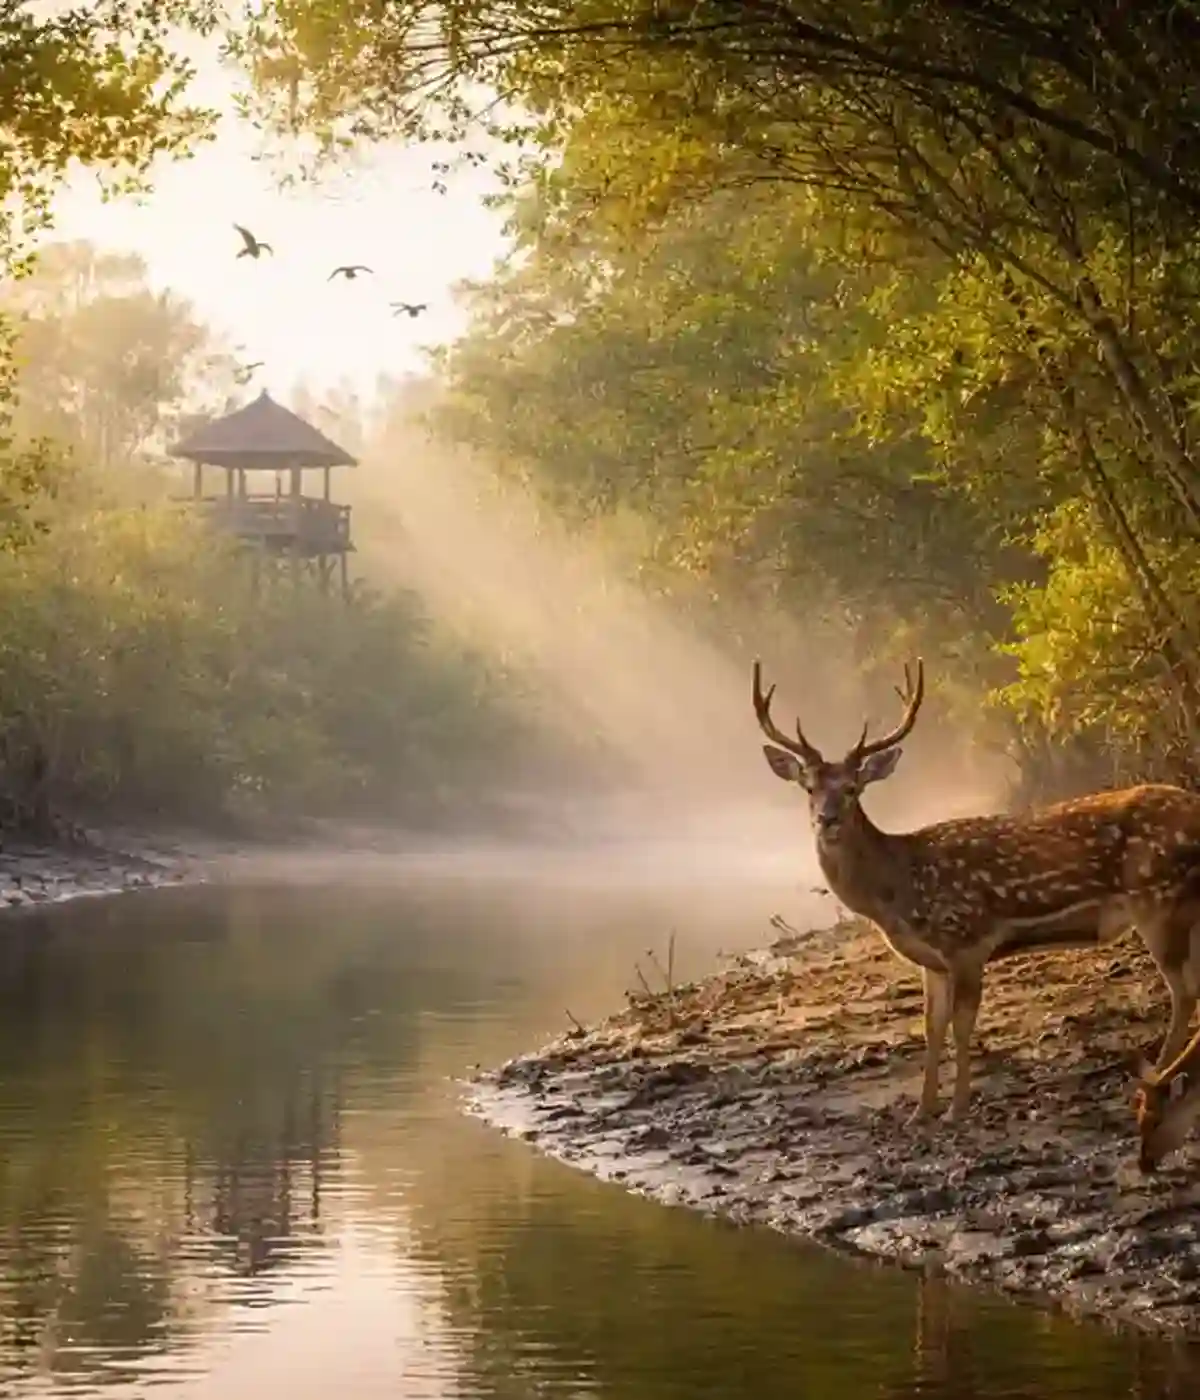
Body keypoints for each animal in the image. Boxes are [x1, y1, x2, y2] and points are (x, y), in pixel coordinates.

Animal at [753, 656, 1200, 1126]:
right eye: (809, 787)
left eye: (853, 788)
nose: (827, 819)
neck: (898, 890)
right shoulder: (932, 961)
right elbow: (930, 1027)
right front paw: (921, 1112)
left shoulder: (967, 938)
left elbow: (962, 1024)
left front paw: (957, 1108)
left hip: (1157, 900)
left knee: (1184, 993)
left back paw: (1155, 1083)